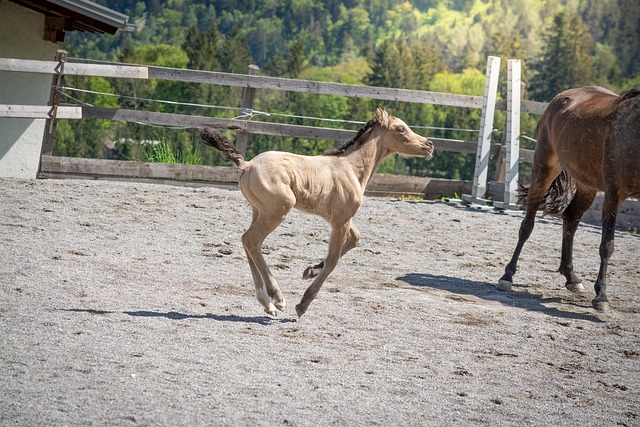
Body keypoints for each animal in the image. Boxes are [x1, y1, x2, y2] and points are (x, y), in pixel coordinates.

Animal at [200, 108, 436, 318]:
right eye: (401, 129)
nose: (429, 145)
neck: (351, 168)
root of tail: (247, 165)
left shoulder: (338, 218)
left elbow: (355, 239)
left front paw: (311, 269)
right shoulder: (341, 220)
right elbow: (333, 260)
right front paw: (303, 303)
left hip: (258, 211)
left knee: (248, 243)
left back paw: (267, 303)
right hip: (278, 210)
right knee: (251, 240)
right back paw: (278, 298)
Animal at [500, 86, 640, 310]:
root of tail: (564, 96)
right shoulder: (613, 194)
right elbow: (607, 245)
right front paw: (601, 296)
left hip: (586, 184)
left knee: (571, 218)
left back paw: (571, 277)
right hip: (544, 168)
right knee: (527, 224)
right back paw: (507, 276)